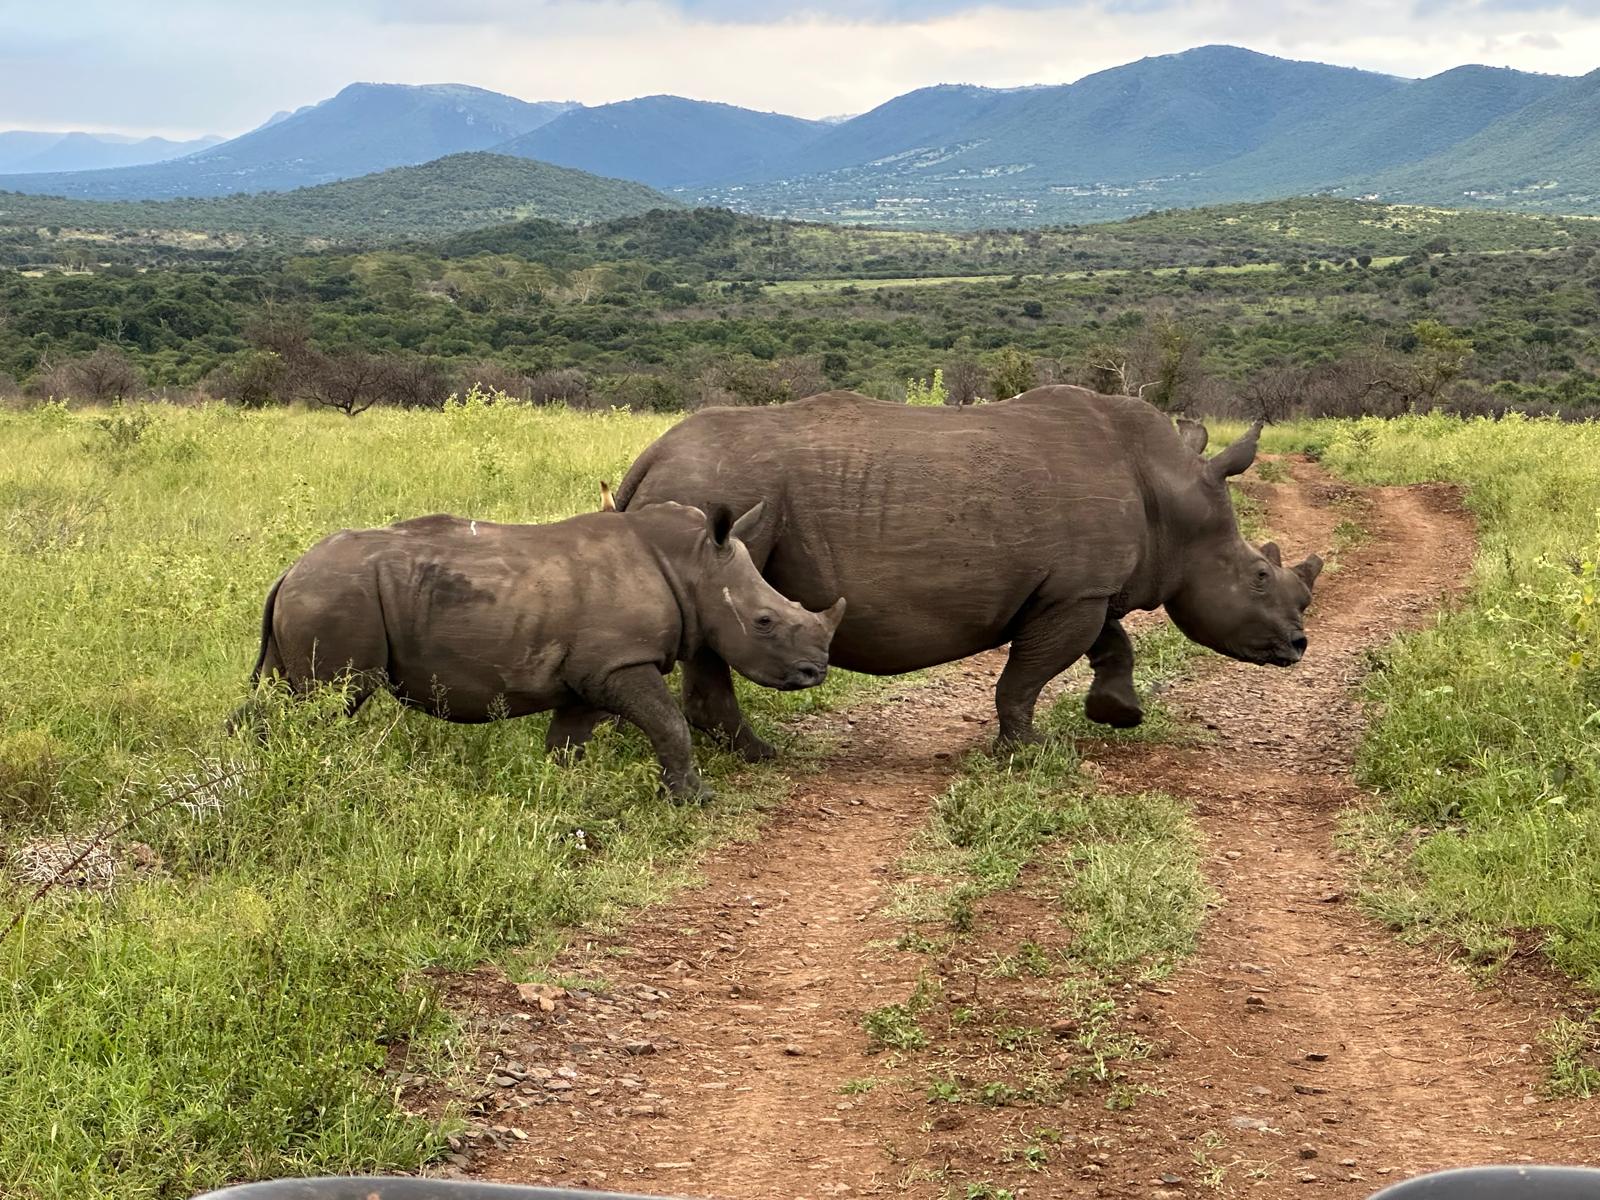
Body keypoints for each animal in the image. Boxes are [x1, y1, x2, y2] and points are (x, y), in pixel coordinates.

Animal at [232, 501, 846, 802]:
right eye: (765, 621)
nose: (815, 671)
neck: (692, 564)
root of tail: (289, 571)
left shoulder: (591, 671)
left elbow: (569, 738)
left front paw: (559, 787)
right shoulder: (619, 662)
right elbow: (669, 722)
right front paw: (694, 799)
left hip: (320, 594)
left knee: (281, 694)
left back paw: (259, 768)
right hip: (338, 596)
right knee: (328, 702)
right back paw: (315, 771)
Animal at [616, 386, 1322, 758]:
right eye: (1259, 576)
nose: (1298, 645)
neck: (1173, 499)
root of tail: (650, 455)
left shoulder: (1080, 588)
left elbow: (1111, 643)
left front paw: (1117, 715)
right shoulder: (1077, 591)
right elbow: (1029, 674)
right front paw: (1026, 753)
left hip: (705, 490)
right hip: (717, 486)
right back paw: (765, 756)